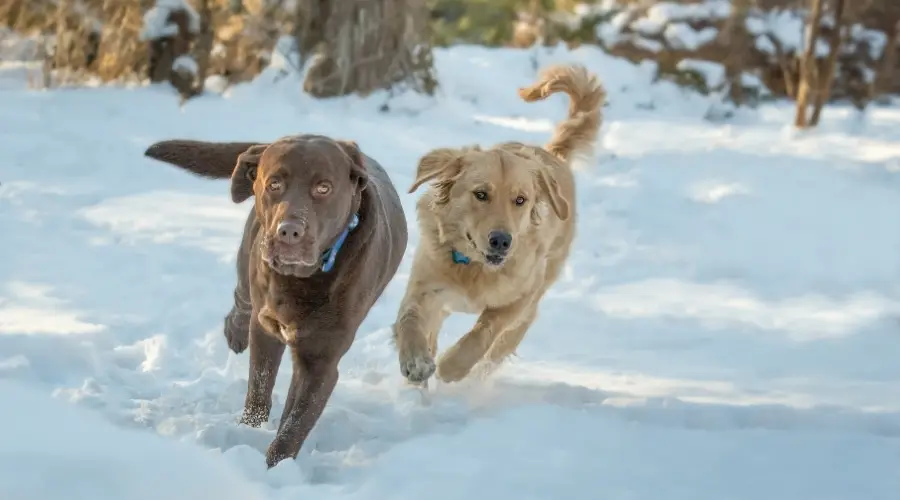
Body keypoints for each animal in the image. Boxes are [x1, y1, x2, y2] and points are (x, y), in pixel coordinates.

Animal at [143, 133, 408, 464]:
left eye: (323, 188)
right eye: (274, 184)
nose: (289, 232)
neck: (302, 279)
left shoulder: (321, 361)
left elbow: (294, 426)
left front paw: (273, 465)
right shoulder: (266, 332)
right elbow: (259, 387)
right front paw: (249, 430)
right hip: (249, 257)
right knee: (242, 300)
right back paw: (235, 332)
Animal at [392, 64, 604, 384]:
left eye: (520, 200)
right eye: (481, 194)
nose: (502, 241)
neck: (474, 268)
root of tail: (553, 154)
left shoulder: (522, 295)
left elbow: (485, 332)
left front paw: (452, 366)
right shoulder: (425, 286)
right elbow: (410, 319)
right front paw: (416, 361)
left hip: (534, 297)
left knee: (505, 341)